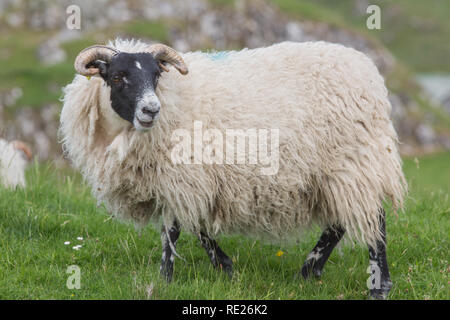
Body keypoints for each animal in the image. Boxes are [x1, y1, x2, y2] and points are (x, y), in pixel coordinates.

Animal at [58, 38, 406, 298]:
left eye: (157, 75)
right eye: (117, 77)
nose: (151, 110)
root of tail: (367, 70)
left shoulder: (180, 175)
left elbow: (173, 231)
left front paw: (165, 277)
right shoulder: (182, 180)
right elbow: (195, 226)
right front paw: (224, 266)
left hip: (354, 159)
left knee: (373, 219)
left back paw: (378, 286)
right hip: (332, 171)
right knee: (340, 222)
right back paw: (309, 270)